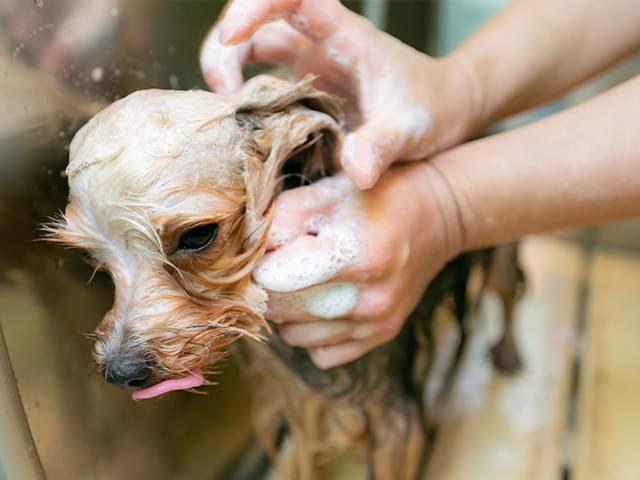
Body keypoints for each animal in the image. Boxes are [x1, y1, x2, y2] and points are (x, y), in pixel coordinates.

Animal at [47, 73, 524, 478]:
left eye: (198, 235)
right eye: (91, 258)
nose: (121, 372)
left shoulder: (395, 420)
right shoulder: (301, 406)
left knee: (508, 293)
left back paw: (506, 352)